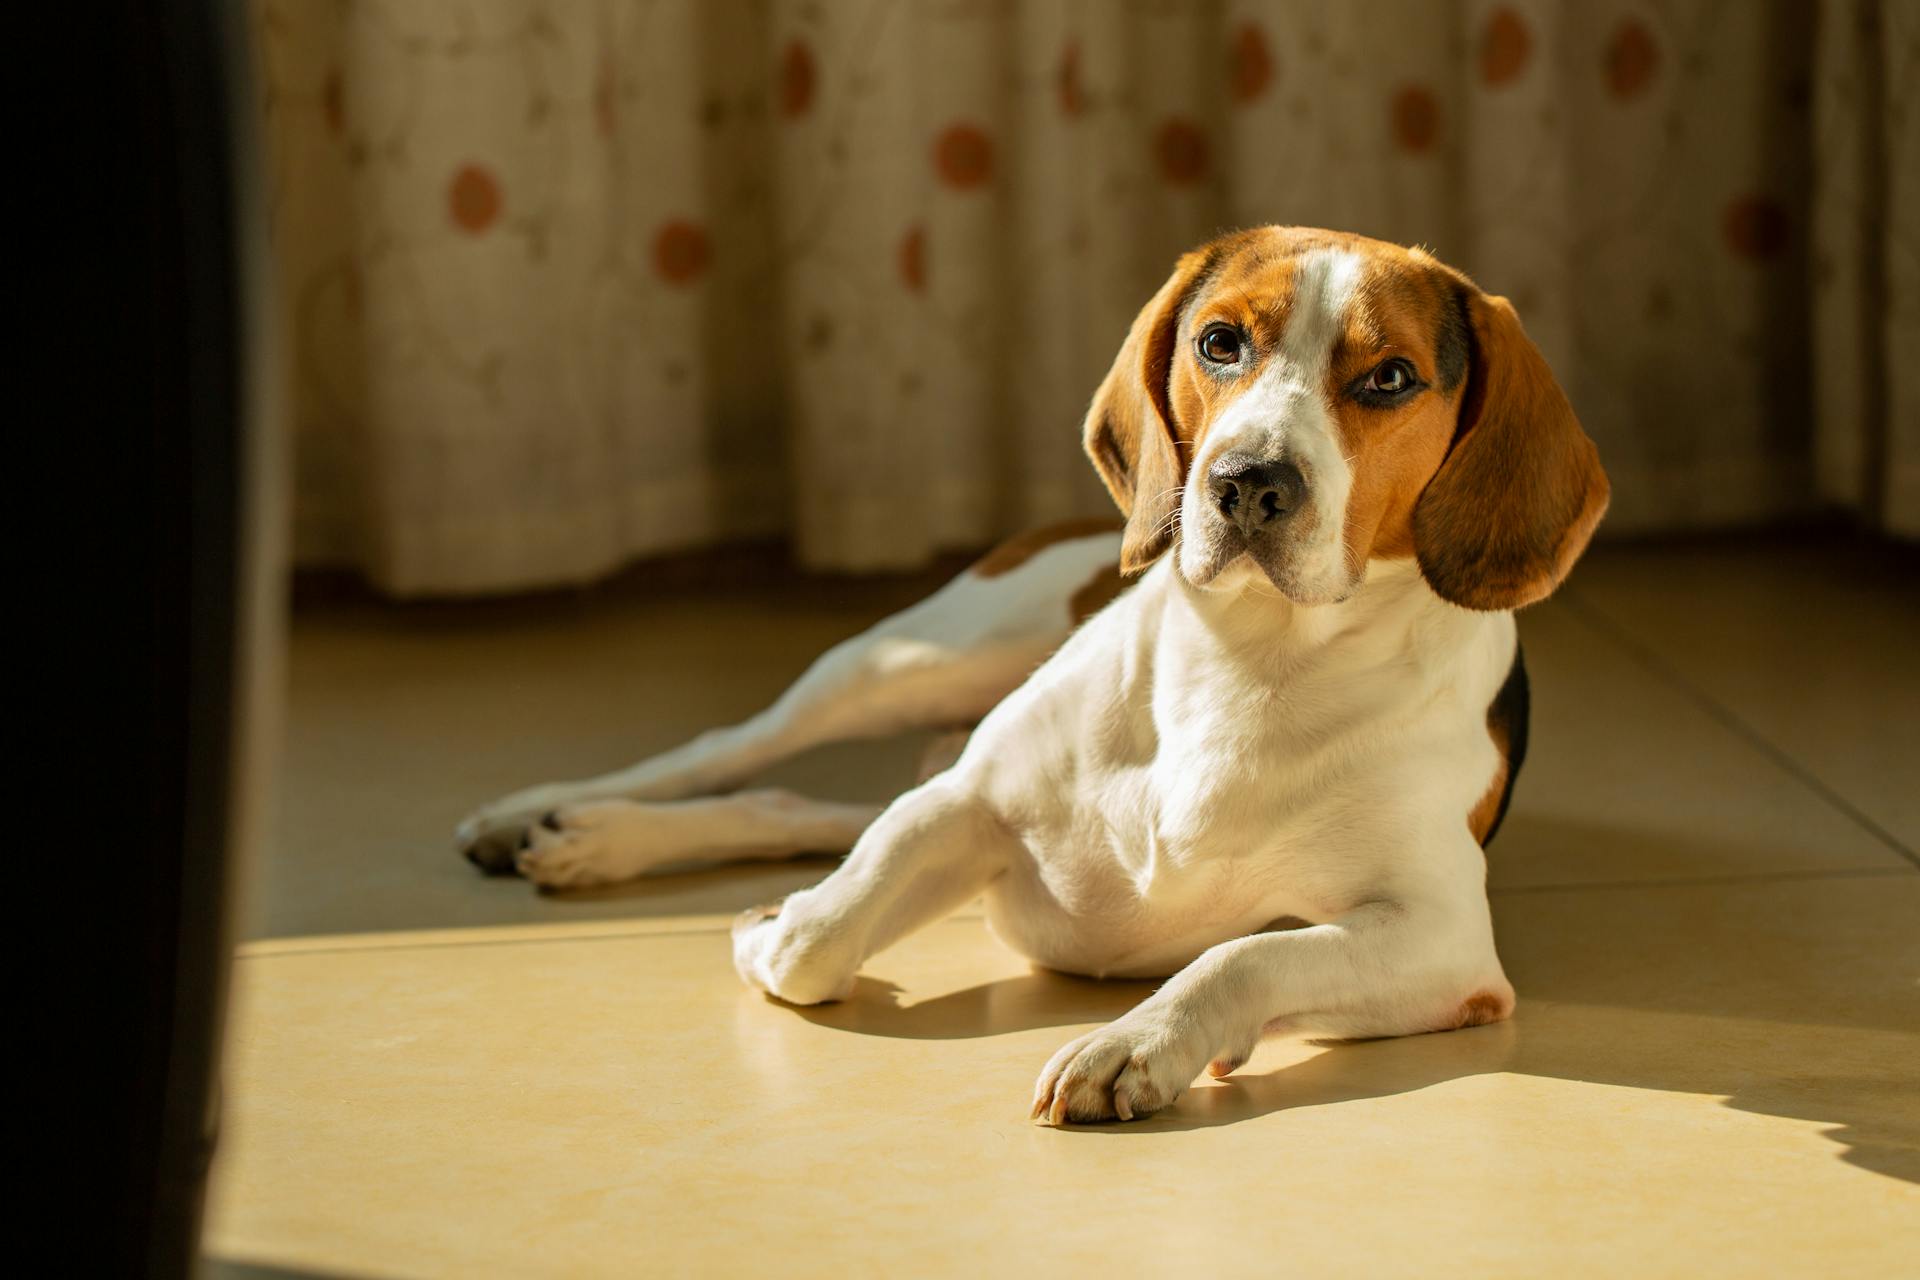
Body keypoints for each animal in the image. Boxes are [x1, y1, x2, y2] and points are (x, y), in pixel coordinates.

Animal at [460, 227, 1605, 1120]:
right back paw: (568, 817)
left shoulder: (1447, 945)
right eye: (1220, 342)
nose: (1245, 483)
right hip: (908, 660)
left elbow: (1245, 953)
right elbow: (813, 943)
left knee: (797, 803)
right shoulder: (971, 797)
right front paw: (770, 924)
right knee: (732, 753)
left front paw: (1139, 1041)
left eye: (1391, 378)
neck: (1249, 660)